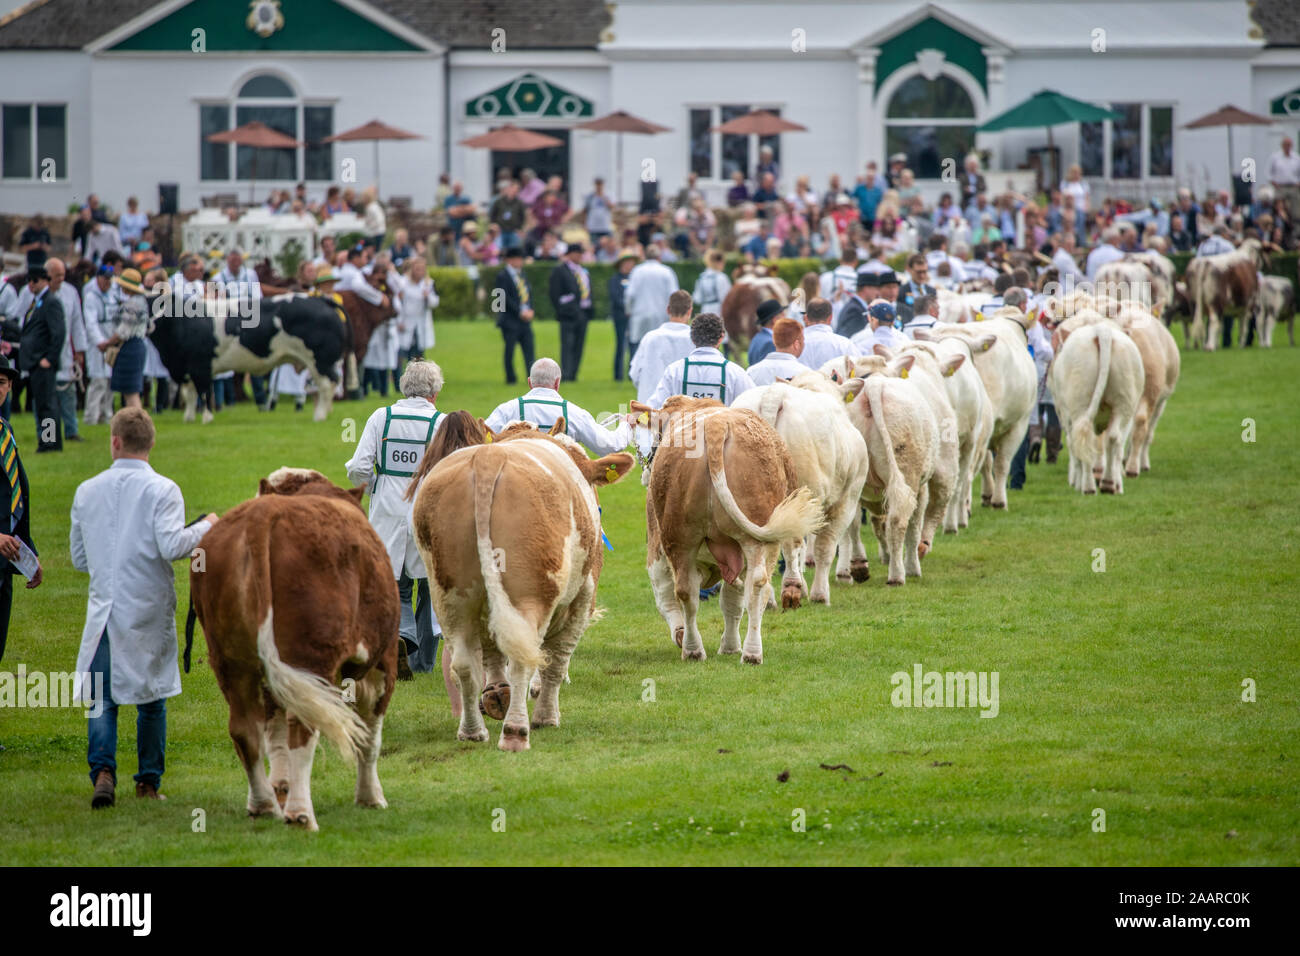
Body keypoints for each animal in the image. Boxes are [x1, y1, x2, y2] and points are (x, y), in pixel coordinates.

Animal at [148, 295, 351, 421]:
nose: (148, 325)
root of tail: (319, 299)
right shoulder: (185, 370)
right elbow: (188, 394)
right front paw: (188, 418)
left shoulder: (201, 367)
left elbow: (204, 393)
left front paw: (206, 418)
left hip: (321, 361)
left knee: (326, 385)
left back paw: (320, 415)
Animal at [405, 421, 629, 749]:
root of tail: (488, 458)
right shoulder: (583, 598)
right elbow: (555, 661)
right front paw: (547, 717)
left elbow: (494, 654)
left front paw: (498, 692)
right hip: (530, 592)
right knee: (523, 658)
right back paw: (515, 731)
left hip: (450, 595)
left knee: (464, 663)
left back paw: (473, 730)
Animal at [629, 395, 821, 665]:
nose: (646, 473)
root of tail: (716, 426)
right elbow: (732, 598)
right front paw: (730, 646)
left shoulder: (658, 549)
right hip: (754, 536)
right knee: (757, 584)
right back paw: (751, 652)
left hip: (679, 537)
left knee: (686, 591)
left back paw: (693, 649)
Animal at [738, 382, 868, 600]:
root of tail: (774, 393)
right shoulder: (847, 500)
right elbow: (825, 546)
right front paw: (819, 594)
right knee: (792, 542)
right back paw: (792, 587)